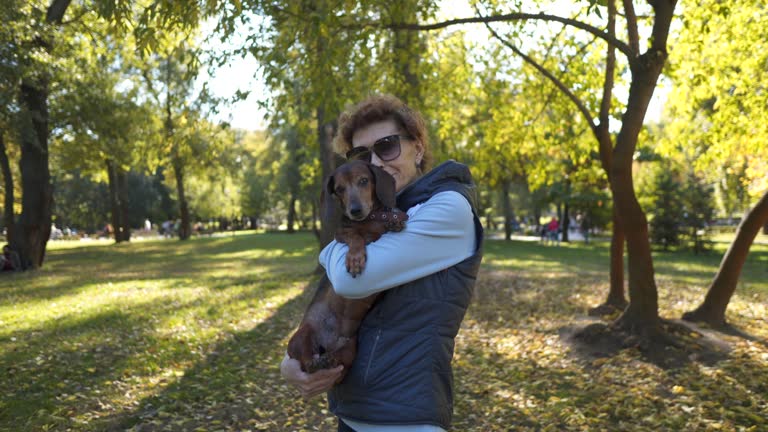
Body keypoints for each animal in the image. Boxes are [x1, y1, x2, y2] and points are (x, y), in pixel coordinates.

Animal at [288, 160, 408, 376]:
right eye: (339, 189)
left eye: (364, 181)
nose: (355, 210)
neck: (371, 218)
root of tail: (328, 344)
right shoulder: (341, 234)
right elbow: (356, 236)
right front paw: (355, 258)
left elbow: (380, 228)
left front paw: (393, 221)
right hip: (301, 335)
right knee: (306, 363)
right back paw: (314, 362)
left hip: (350, 349)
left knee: (339, 361)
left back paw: (329, 360)